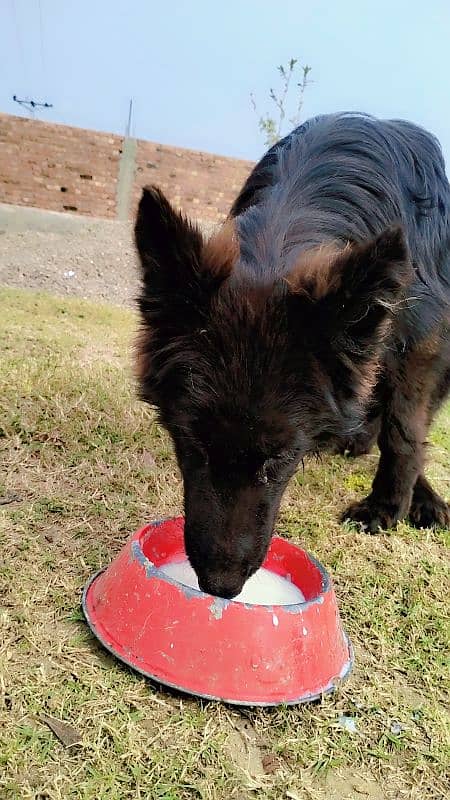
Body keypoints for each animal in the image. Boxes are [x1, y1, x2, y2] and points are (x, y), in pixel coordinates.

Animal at [134, 115, 450, 596]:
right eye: (192, 443)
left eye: (281, 457)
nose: (220, 586)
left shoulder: (422, 341)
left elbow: (405, 431)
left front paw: (386, 506)